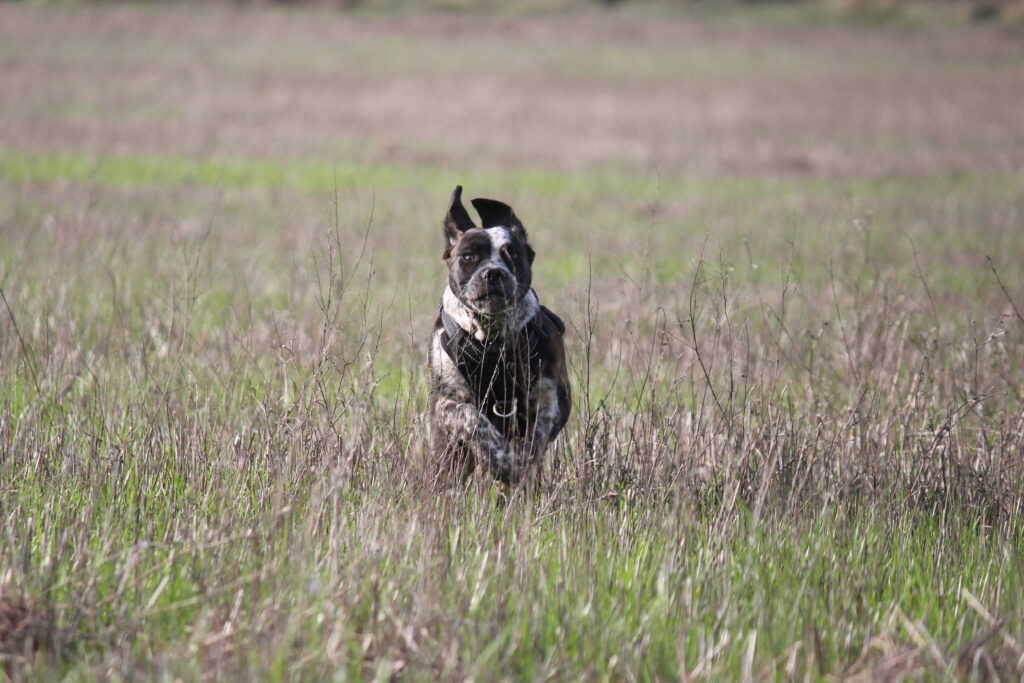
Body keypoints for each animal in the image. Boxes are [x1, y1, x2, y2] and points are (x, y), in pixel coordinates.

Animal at [427, 186, 571, 485]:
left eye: (513, 254)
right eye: (468, 256)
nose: (493, 272)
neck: (491, 339)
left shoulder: (550, 398)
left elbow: (535, 439)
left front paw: (515, 463)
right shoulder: (447, 402)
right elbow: (472, 418)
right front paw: (501, 459)